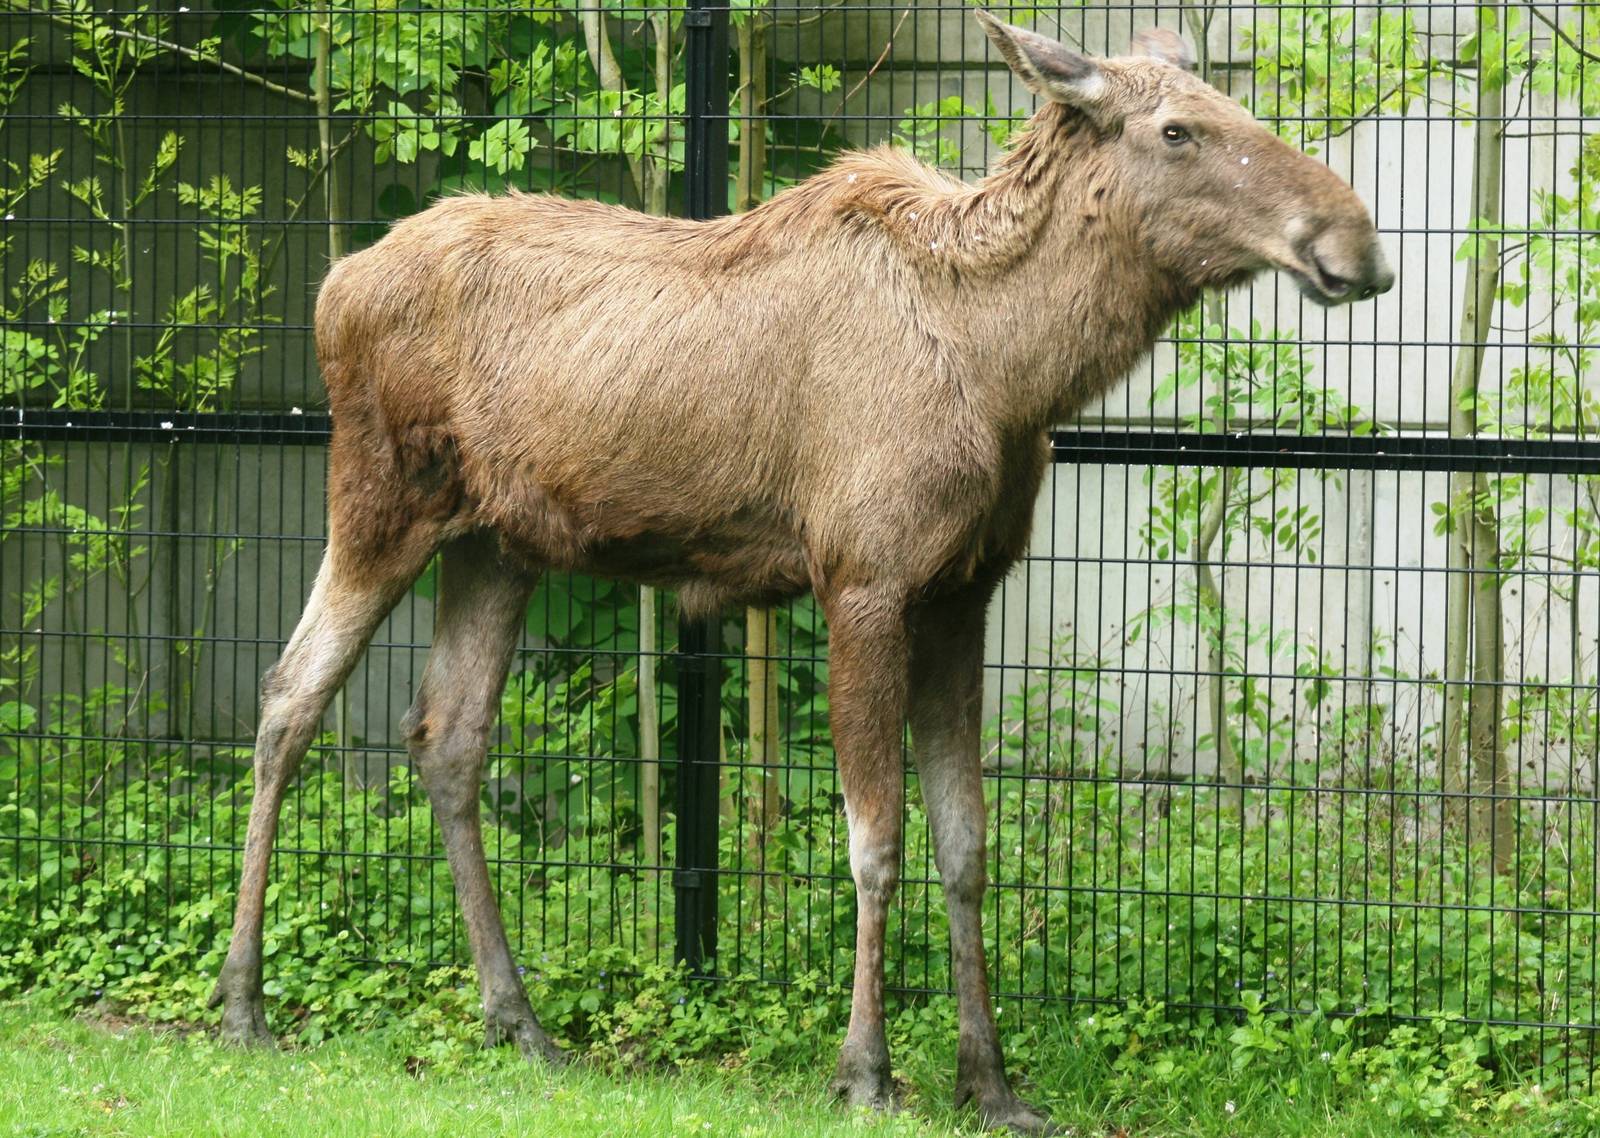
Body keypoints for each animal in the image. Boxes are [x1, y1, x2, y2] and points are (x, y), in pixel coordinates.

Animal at [207, 12, 1392, 1134]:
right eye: (1178, 129)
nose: (1358, 241)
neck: (1011, 369)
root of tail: (334, 284)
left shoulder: (963, 592)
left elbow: (967, 842)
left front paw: (992, 1083)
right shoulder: (862, 578)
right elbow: (876, 839)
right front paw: (866, 1068)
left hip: (498, 543)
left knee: (447, 735)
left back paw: (520, 1020)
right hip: (381, 499)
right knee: (288, 696)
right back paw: (243, 1003)